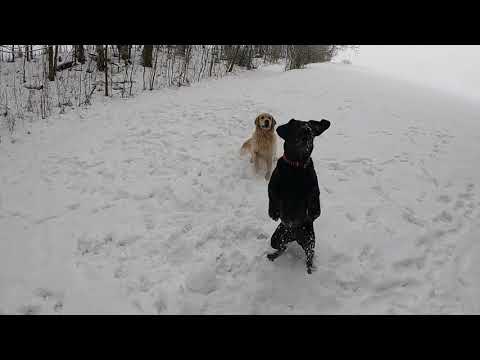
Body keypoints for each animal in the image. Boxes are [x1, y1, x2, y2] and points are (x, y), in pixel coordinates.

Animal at [266, 118, 330, 272]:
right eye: (297, 125)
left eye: (311, 126)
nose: (307, 129)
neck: (297, 165)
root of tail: (293, 236)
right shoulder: (273, 184)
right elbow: (272, 196)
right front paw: (274, 213)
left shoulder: (313, 187)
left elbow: (314, 198)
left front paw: (314, 213)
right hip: (276, 239)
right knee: (282, 248)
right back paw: (272, 256)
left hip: (309, 240)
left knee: (309, 255)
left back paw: (309, 270)